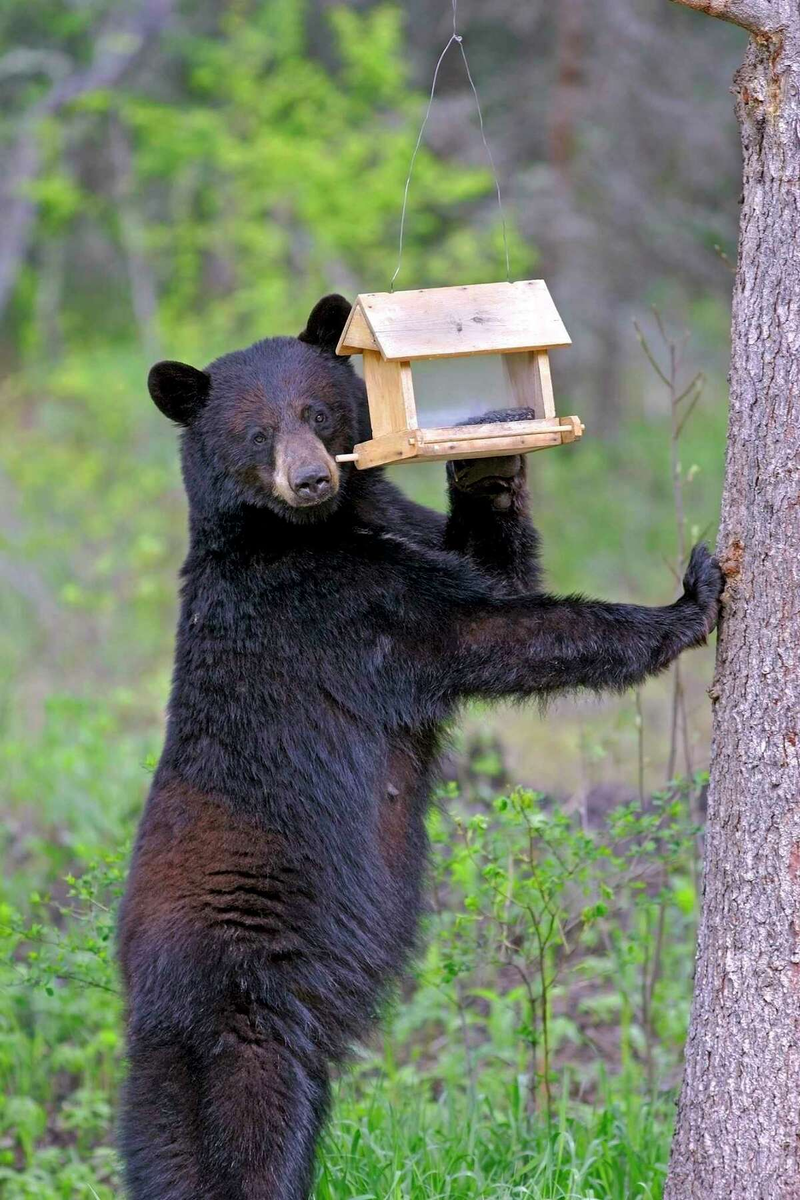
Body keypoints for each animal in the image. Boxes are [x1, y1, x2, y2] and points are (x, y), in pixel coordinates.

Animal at [117, 294, 723, 1199]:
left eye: (317, 412)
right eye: (255, 434)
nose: (310, 477)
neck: (314, 530)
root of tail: (142, 1004)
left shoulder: (397, 531)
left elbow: (490, 568)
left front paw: (489, 455)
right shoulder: (339, 608)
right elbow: (490, 631)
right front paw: (688, 600)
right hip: (244, 1005)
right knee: (251, 1131)